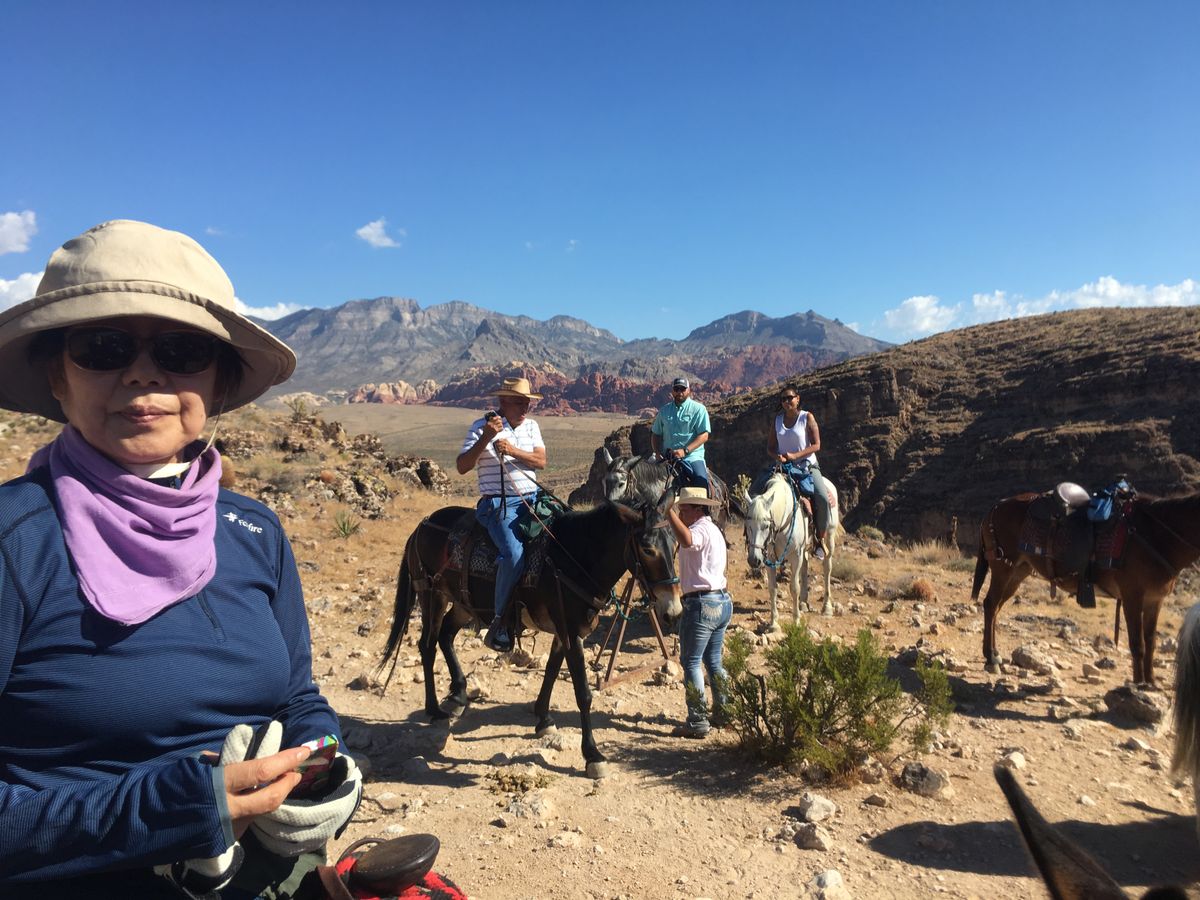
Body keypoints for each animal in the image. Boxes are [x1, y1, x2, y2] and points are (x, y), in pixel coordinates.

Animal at [378, 500, 682, 778]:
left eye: (675, 545)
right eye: (648, 549)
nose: (674, 612)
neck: (574, 558)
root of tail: (423, 524)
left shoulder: (563, 632)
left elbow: (551, 671)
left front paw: (543, 719)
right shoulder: (570, 630)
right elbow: (583, 693)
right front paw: (592, 755)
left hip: (463, 604)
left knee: (445, 636)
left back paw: (459, 694)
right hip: (432, 594)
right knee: (428, 645)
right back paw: (434, 709)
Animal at [743, 471, 839, 625]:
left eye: (765, 526)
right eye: (748, 525)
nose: (754, 560)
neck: (783, 519)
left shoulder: (795, 555)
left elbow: (794, 588)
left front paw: (796, 621)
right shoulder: (770, 557)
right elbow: (772, 588)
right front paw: (774, 624)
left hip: (829, 537)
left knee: (827, 567)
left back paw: (827, 607)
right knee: (805, 566)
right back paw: (803, 603)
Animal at [974, 488, 1200, 687]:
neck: (1156, 537)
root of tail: (996, 506)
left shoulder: (1154, 600)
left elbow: (1151, 642)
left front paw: (1151, 682)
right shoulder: (1132, 596)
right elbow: (1138, 644)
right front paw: (1139, 684)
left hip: (1018, 572)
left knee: (996, 608)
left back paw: (995, 654)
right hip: (1003, 568)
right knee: (990, 605)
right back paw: (991, 657)